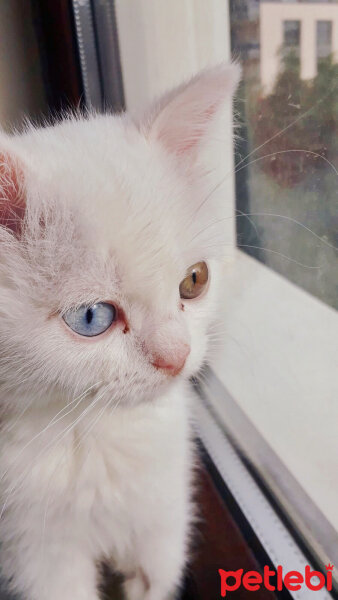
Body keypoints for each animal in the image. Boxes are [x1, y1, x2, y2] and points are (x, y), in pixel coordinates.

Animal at [0, 65, 240, 600]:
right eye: (92, 318)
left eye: (194, 280)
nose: (176, 356)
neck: (91, 436)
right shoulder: (35, 552)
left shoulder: (164, 508)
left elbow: (156, 571)